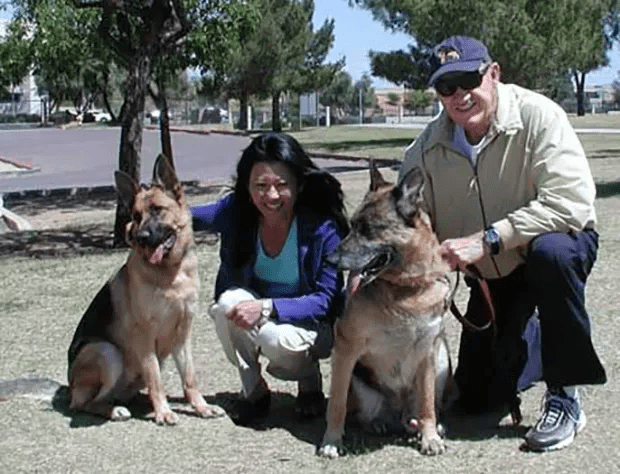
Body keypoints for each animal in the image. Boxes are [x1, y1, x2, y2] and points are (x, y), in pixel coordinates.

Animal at [67, 156, 222, 426]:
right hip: (107, 352)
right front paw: (163, 412)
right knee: (86, 403)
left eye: (158, 210)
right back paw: (114, 410)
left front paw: (201, 407)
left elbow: (189, 377)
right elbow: (156, 378)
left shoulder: (183, 333)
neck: (170, 274)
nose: (140, 237)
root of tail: (69, 387)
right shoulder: (145, 335)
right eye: (136, 215)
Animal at [320, 165, 456, 458]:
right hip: (360, 384)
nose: (329, 260)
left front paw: (430, 437)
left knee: (422, 409)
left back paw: (423, 426)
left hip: (441, 359)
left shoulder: (428, 351)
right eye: (352, 226)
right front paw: (331, 440)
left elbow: (427, 404)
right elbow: (336, 403)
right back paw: (380, 424)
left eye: (369, 229)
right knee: (363, 414)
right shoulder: (346, 348)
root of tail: (398, 412)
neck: (405, 289)